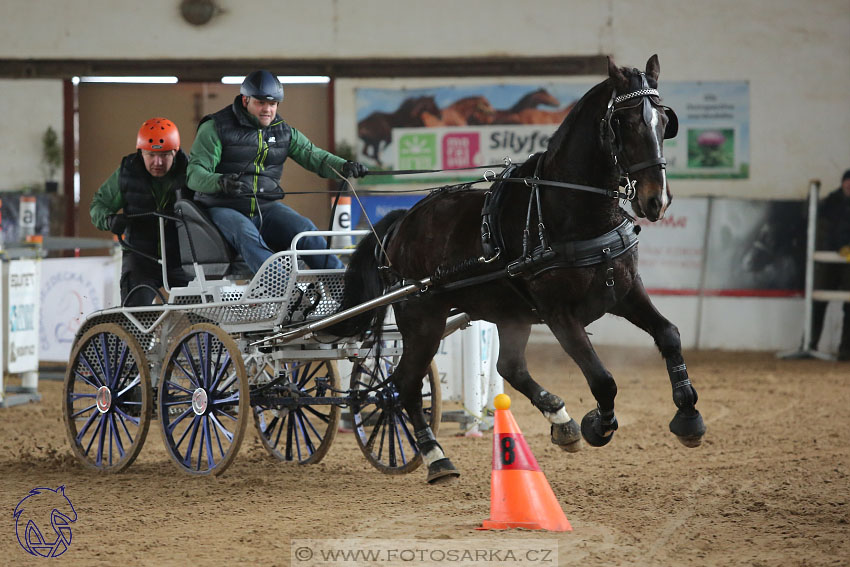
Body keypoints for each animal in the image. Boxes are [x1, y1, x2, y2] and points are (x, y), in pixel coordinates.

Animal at [334, 56, 700, 484]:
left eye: (664, 121)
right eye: (622, 122)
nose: (656, 200)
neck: (571, 210)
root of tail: (400, 223)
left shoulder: (625, 292)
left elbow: (669, 335)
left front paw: (689, 416)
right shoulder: (559, 314)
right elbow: (602, 378)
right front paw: (598, 425)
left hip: (508, 313)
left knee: (507, 366)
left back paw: (561, 421)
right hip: (422, 318)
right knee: (404, 386)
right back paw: (437, 458)